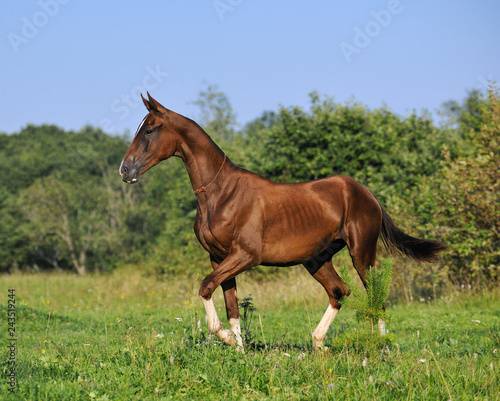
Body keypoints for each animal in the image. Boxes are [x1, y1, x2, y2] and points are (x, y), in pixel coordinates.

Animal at [120, 93, 446, 350]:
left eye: (149, 130)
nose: (125, 170)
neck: (221, 194)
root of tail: (367, 194)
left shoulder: (246, 256)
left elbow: (206, 287)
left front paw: (224, 337)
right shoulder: (219, 257)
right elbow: (230, 305)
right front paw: (238, 350)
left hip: (362, 253)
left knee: (376, 294)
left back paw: (381, 346)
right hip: (317, 260)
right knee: (339, 292)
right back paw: (318, 343)